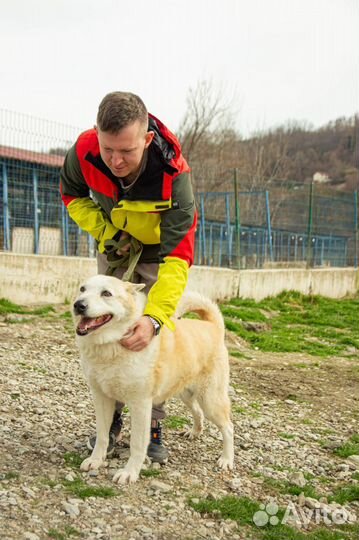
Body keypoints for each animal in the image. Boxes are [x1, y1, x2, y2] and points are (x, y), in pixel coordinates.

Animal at [73, 274, 236, 486]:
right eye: (82, 289)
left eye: (106, 293)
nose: (79, 305)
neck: (114, 344)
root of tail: (213, 326)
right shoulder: (100, 397)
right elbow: (102, 435)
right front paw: (95, 460)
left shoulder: (140, 404)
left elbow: (137, 444)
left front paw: (130, 473)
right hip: (186, 394)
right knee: (198, 412)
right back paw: (195, 432)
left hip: (210, 400)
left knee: (228, 427)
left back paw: (226, 459)